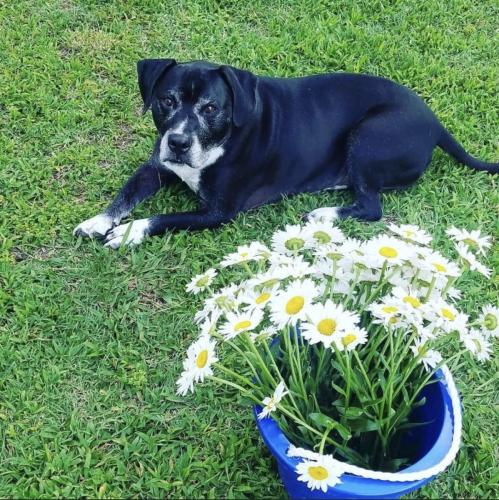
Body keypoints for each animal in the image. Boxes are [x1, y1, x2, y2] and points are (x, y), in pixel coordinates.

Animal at [72, 59, 498, 247]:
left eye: (210, 107)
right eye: (166, 100)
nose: (177, 142)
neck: (220, 142)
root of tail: (436, 122)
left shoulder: (217, 212)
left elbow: (165, 217)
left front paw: (130, 230)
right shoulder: (158, 167)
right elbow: (126, 193)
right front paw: (99, 221)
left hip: (369, 135)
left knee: (371, 206)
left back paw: (326, 212)